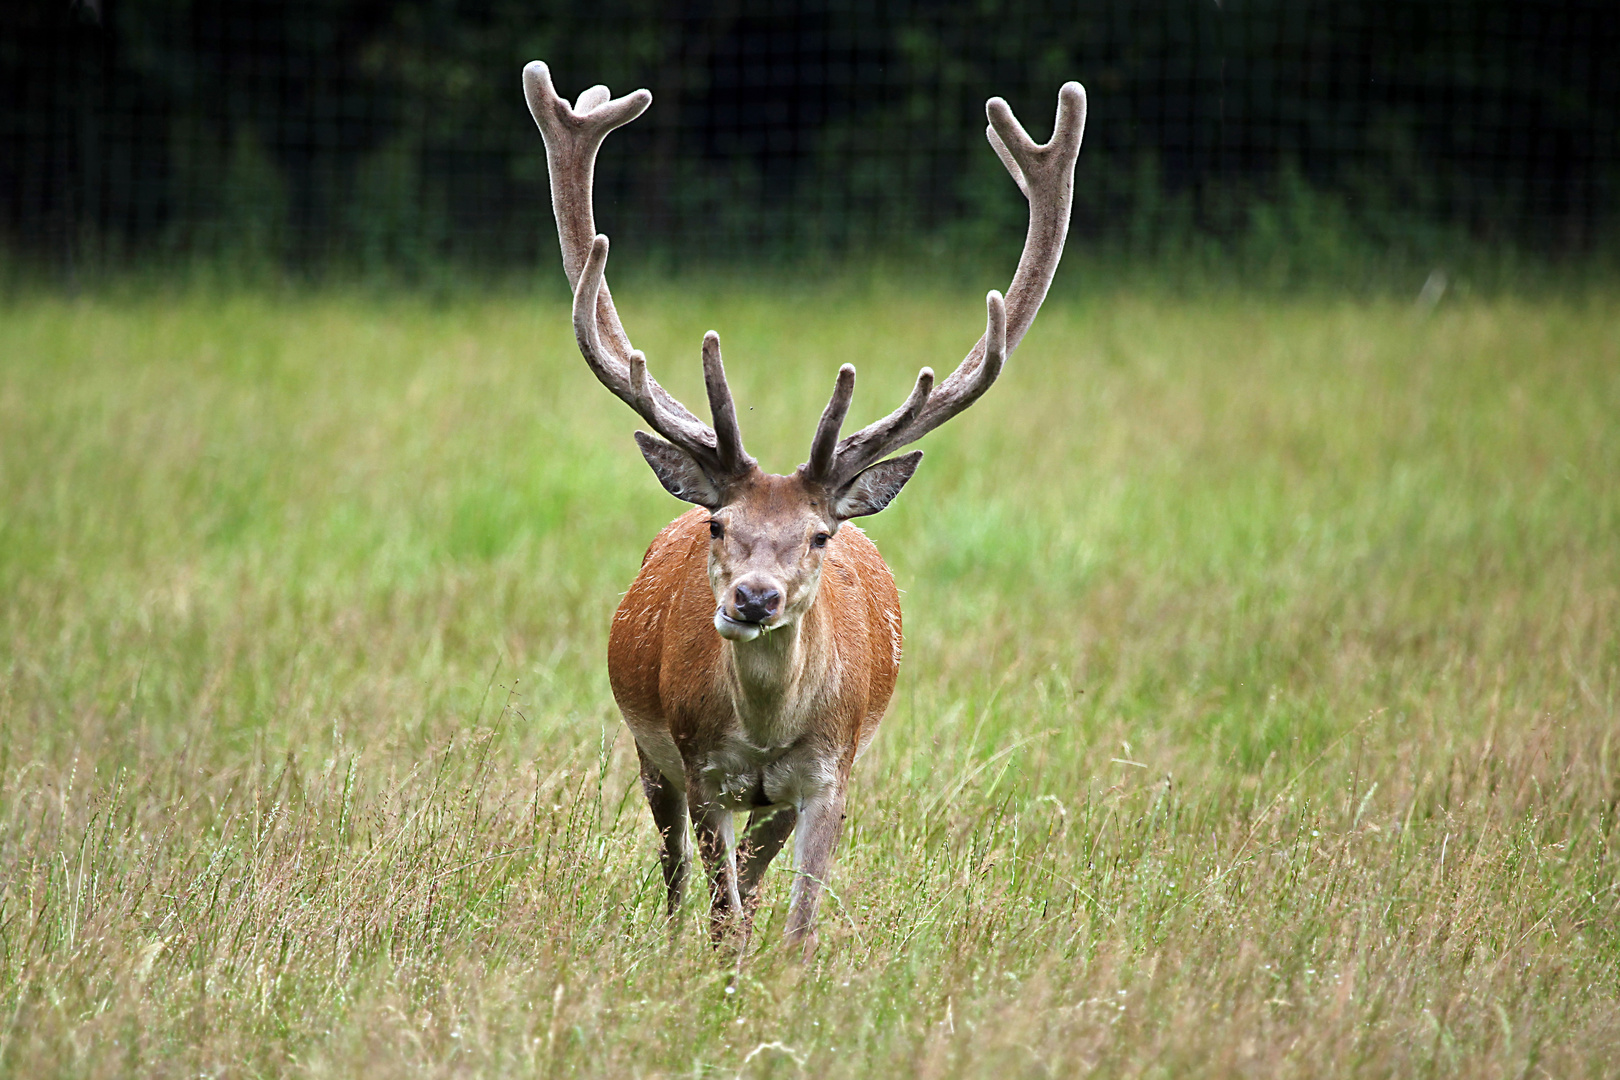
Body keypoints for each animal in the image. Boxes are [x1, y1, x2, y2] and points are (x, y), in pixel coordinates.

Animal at [524, 61, 1082, 952]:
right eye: (721, 524)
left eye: (820, 536)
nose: (753, 599)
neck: (762, 731)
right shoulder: (701, 767)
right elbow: (722, 910)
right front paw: (715, 967)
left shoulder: (828, 774)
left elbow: (795, 923)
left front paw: (781, 968)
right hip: (651, 756)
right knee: (675, 872)